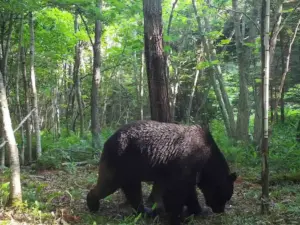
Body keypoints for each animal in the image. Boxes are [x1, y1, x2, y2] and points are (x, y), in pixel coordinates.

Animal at [86, 121, 237, 225]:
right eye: (226, 196)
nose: (220, 210)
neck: (207, 161)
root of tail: (108, 139)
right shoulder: (187, 162)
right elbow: (178, 192)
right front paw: (179, 217)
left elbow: (187, 191)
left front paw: (196, 210)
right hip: (120, 160)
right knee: (108, 183)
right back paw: (92, 203)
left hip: (131, 168)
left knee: (132, 190)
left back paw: (145, 211)